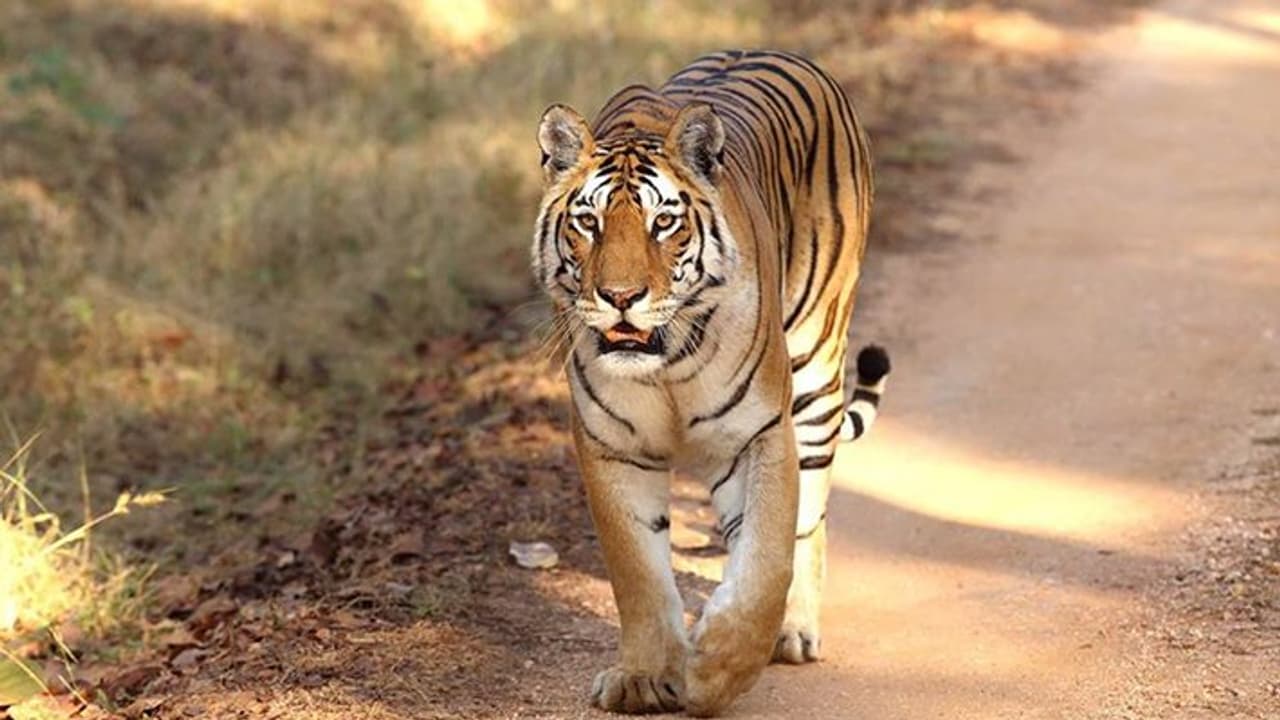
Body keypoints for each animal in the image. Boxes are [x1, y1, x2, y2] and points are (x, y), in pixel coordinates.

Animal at [531, 50, 890, 716]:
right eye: (588, 222)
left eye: (664, 222)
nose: (620, 296)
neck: (667, 362)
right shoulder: (611, 447)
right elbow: (638, 573)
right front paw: (645, 677)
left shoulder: (760, 434)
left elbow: (766, 562)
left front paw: (715, 670)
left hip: (816, 370)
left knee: (811, 516)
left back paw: (794, 632)